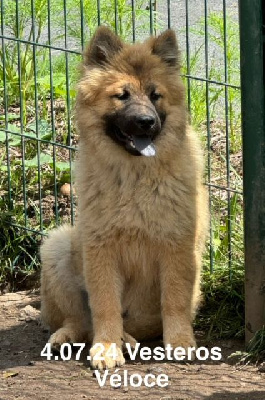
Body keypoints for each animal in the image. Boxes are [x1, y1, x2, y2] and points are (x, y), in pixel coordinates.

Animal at [40, 26, 207, 370]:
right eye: (122, 95)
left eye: (156, 95)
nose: (146, 122)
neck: (135, 177)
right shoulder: (100, 248)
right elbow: (104, 305)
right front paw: (106, 347)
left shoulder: (177, 247)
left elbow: (174, 301)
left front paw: (180, 342)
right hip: (58, 247)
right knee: (80, 320)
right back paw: (71, 337)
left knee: (134, 323)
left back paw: (127, 338)